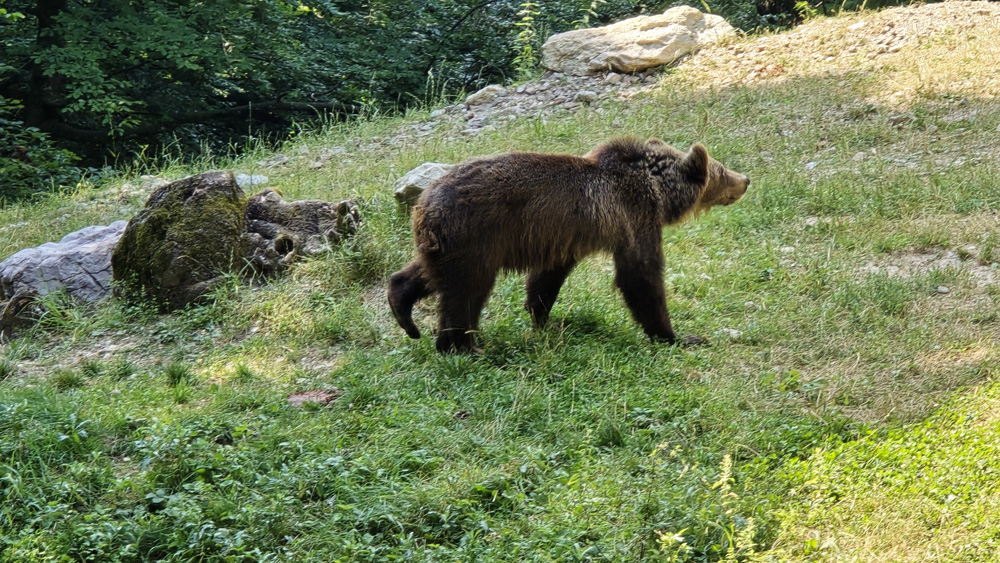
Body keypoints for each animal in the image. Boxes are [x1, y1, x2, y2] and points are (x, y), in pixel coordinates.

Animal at [386, 137, 748, 352]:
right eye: (719, 169)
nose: (745, 179)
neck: (657, 191)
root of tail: (424, 203)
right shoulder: (633, 219)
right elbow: (641, 275)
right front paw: (677, 335)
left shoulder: (563, 238)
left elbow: (546, 279)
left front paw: (543, 319)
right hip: (475, 237)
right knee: (465, 293)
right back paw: (461, 345)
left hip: (447, 243)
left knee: (429, 274)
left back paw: (404, 312)